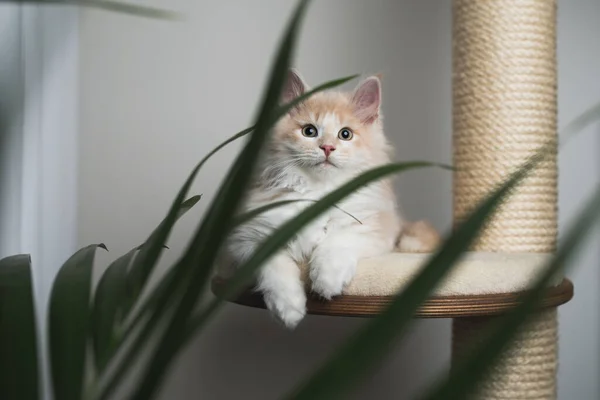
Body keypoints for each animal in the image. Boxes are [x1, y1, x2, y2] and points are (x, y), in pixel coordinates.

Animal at [218, 70, 438, 328]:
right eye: (309, 131)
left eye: (346, 134)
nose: (328, 148)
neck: (318, 192)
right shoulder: (246, 236)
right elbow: (273, 265)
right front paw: (288, 307)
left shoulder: (371, 226)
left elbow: (336, 243)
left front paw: (326, 282)